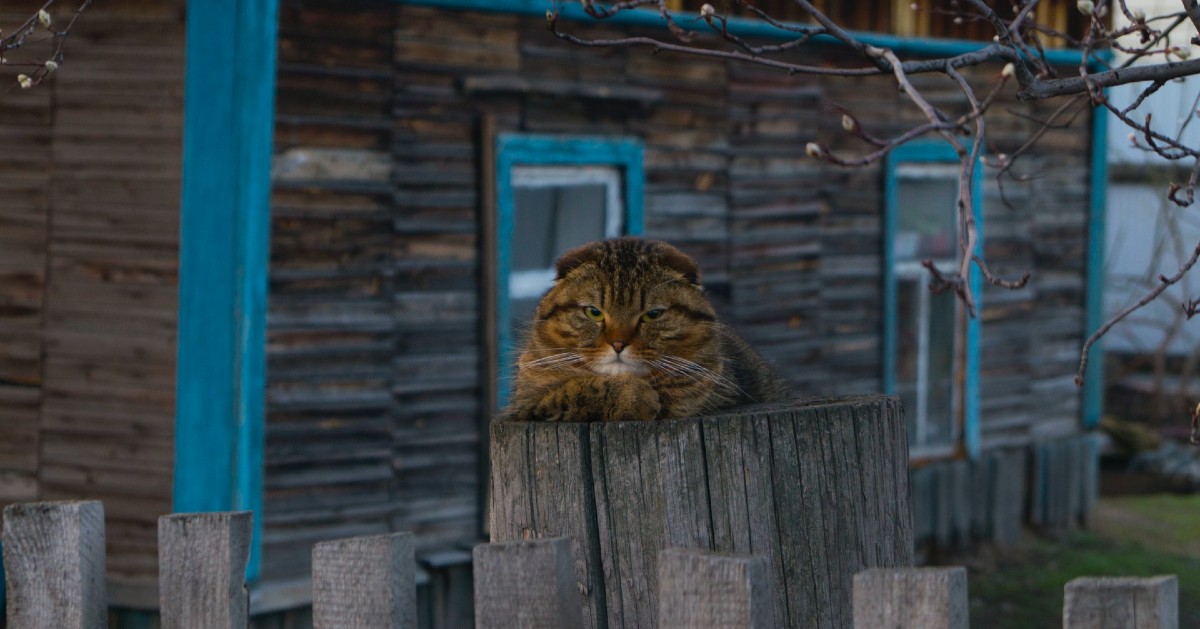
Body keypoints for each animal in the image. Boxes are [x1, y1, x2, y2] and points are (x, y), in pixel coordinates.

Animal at [496, 235, 787, 422]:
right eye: (593, 312)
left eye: (652, 314)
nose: (618, 343)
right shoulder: (524, 405)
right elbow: (578, 389)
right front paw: (636, 397)